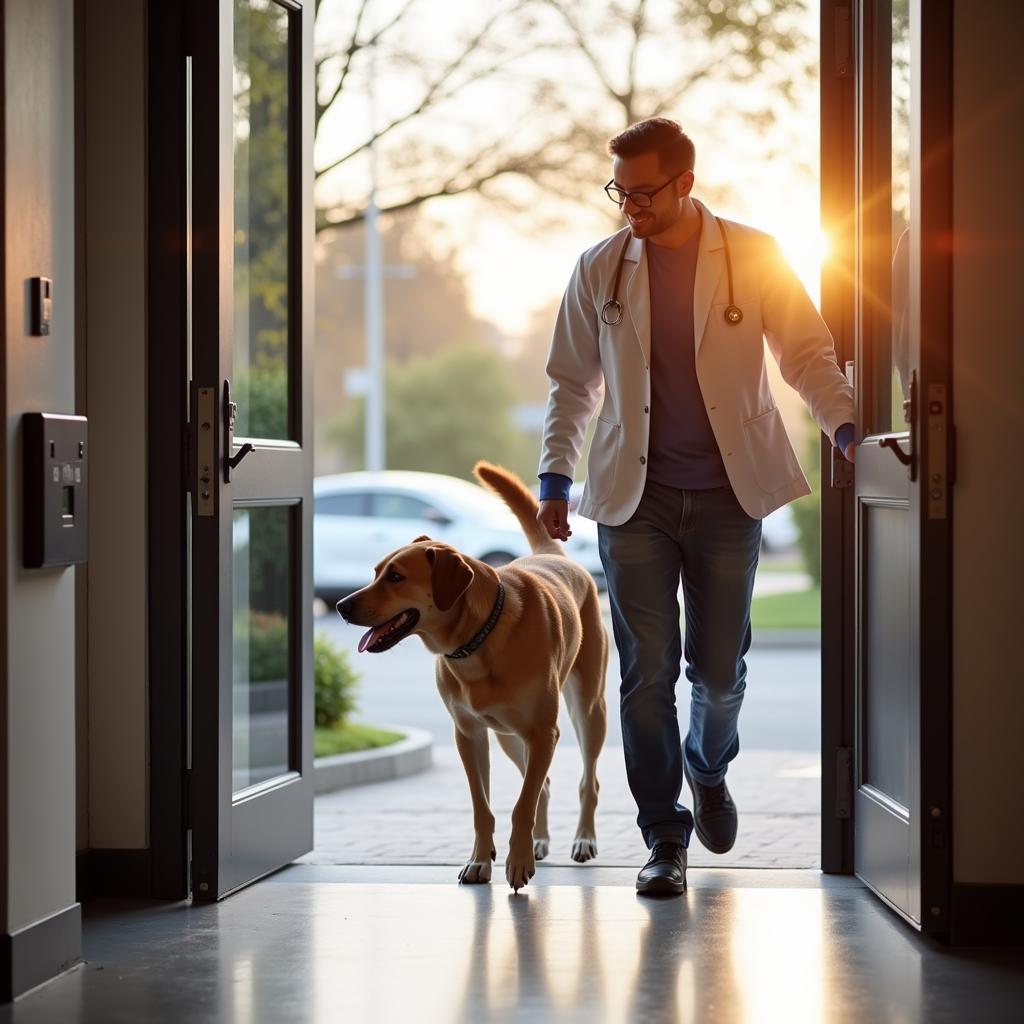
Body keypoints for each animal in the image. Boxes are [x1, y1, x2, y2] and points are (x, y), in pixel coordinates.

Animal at [335, 460, 606, 892]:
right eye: (376, 572)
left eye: (395, 577)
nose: (342, 606)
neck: (478, 640)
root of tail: (552, 554)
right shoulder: (469, 733)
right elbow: (484, 805)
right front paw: (481, 860)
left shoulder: (544, 732)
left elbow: (521, 805)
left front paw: (516, 862)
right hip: (509, 736)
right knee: (542, 784)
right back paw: (539, 840)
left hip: (587, 709)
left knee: (586, 780)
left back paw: (583, 838)